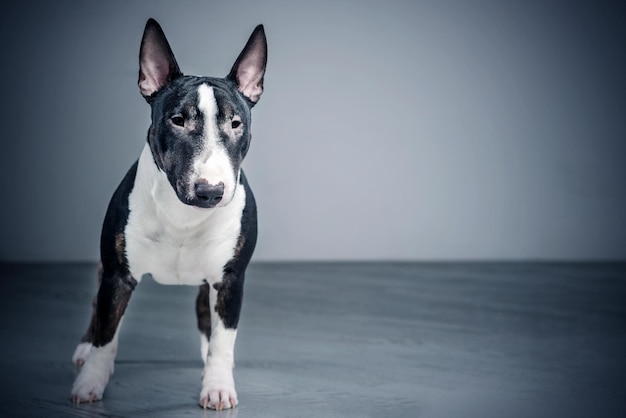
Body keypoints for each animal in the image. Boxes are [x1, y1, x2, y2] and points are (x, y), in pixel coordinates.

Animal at [70, 18, 266, 410]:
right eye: (177, 120)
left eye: (235, 123)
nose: (211, 191)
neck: (183, 217)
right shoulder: (118, 274)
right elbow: (106, 332)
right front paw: (90, 383)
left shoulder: (230, 278)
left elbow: (223, 338)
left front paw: (218, 385)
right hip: (106, 268)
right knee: (98, 307)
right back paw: (85, 349)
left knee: (207, 315)